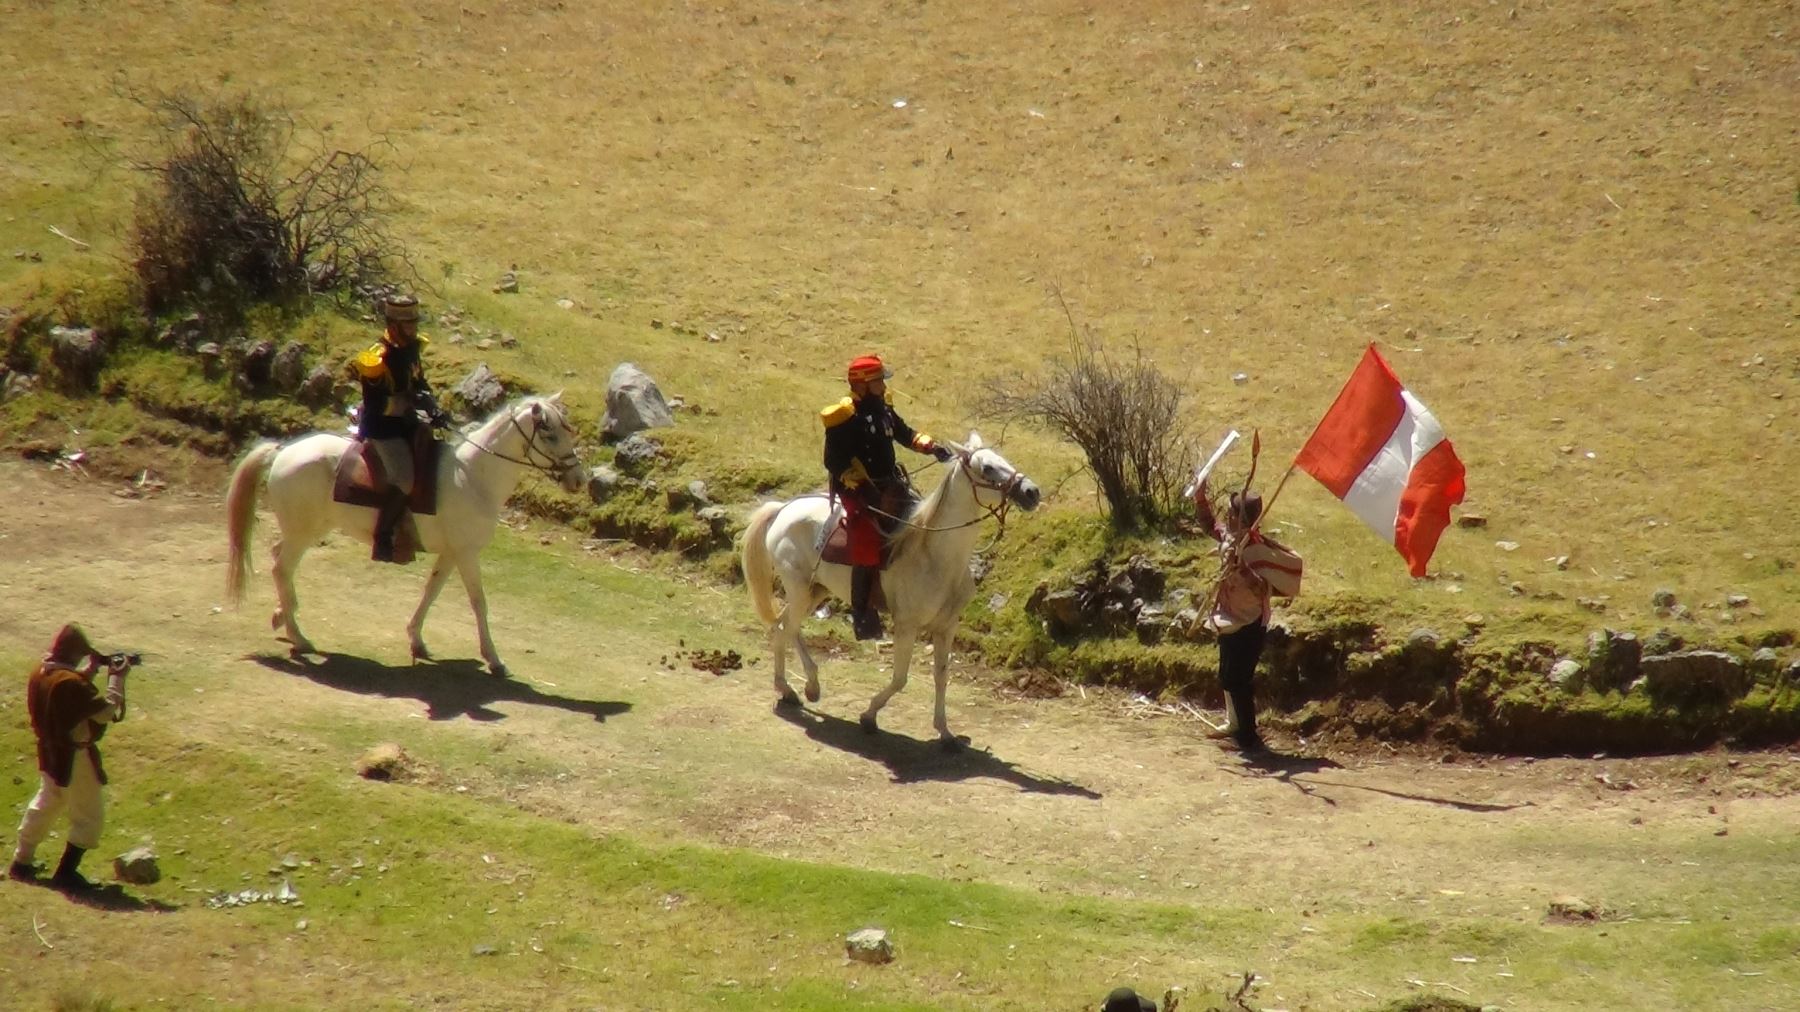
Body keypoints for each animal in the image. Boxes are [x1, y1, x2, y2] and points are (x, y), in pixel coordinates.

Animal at [225, 392, 586, 669]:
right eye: (550, 435)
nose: (579, 479)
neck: (472, 477)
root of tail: (283, 451)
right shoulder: (467, 554)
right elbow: (478, 602)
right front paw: (494, 659)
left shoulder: (451, 554)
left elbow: (431, 591)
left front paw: (417, 641)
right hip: (303, 534)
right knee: (281, 568)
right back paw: (299, 637)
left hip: (306, 531)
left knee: (279, 562)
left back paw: (282, 617)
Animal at [734, 428, 1044, 745]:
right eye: (988, 467)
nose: (1031, 492)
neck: (935, 555)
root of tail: (783, 508)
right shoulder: (906, 625)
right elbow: (900, 679)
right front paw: (869, 715)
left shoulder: (946, 627)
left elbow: (941, 675)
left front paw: (945, 733)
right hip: (799, 590)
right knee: (784, 629)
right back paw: (787, 688)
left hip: (814, 592)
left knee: (785, 626)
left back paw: (809, 686)